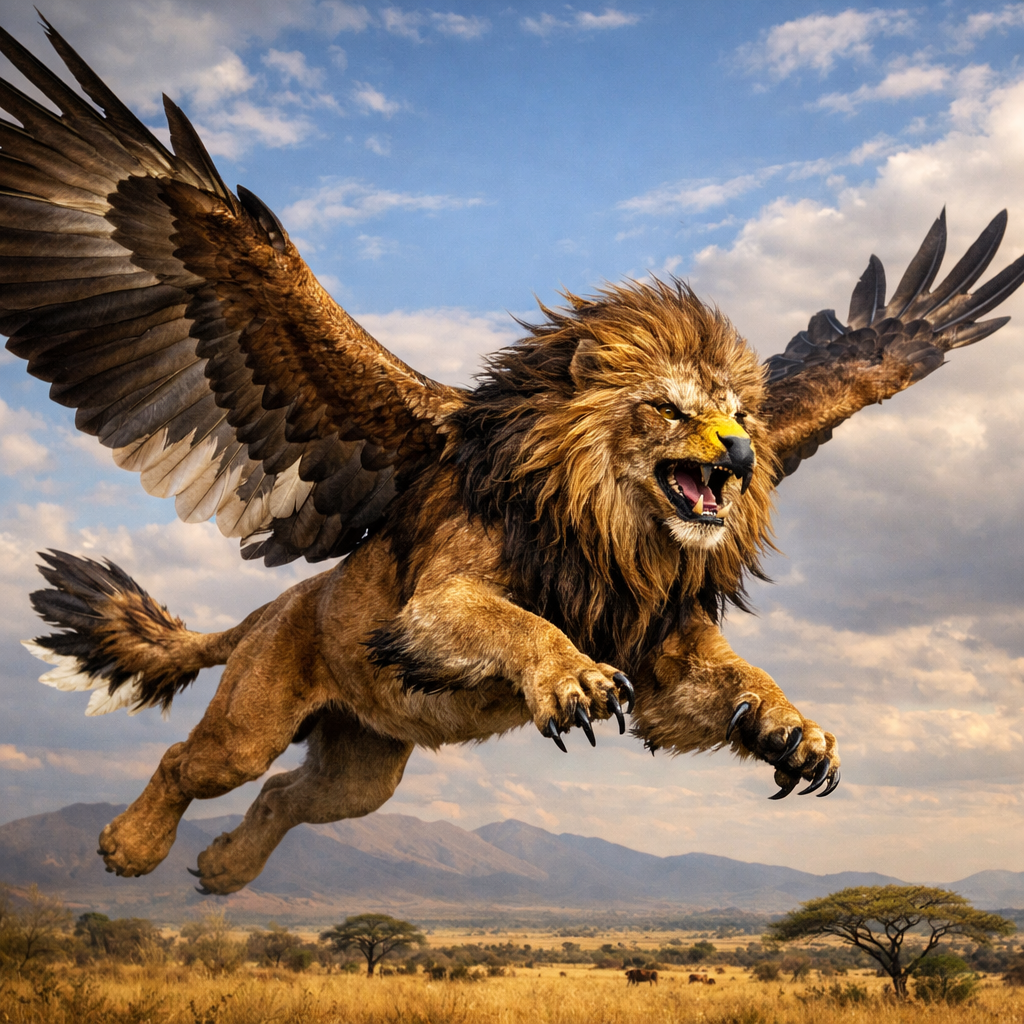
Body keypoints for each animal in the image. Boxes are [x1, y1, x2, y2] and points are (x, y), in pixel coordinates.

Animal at [3, 21, 1023, 894]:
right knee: (193, 761)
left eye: (739, 412)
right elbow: (516, 625)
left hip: (363, 761)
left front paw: (793, 730)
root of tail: (272, 605)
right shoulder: (435, 604)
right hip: (254, 713)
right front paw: (571, 679)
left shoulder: (660, 642)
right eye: (670, 408)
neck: (611, 528)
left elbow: (737, 677)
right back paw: (128, 847)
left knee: (290, 795)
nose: (740, 451)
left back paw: (223, 871)